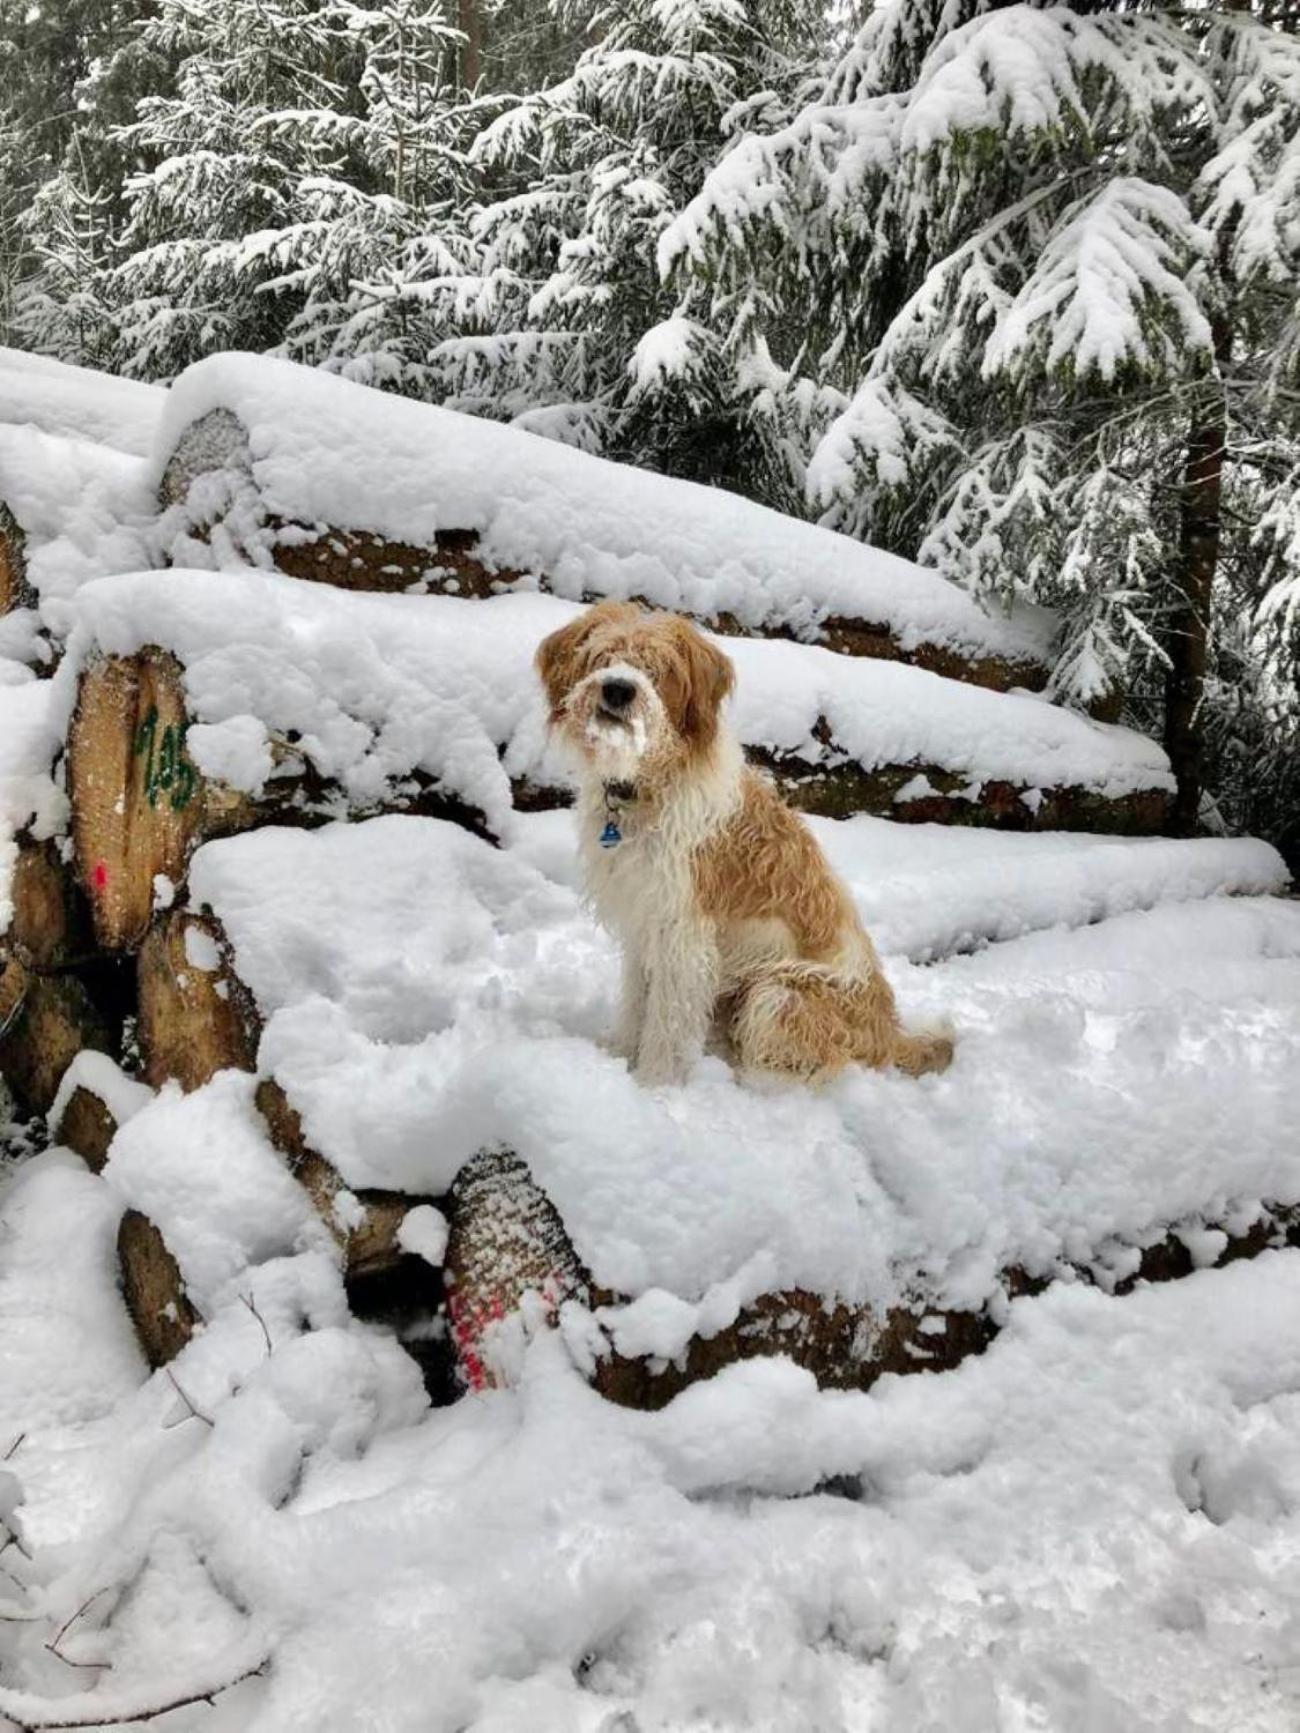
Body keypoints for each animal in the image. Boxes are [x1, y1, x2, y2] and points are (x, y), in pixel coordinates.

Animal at [533, 596, 949, 1081]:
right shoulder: (643, 922)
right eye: (603, 656)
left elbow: (665, 1025)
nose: (618, 689)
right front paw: (617, 1059)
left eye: (659, 668)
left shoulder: (684, 934)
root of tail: (890, 1034)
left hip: (777, 994)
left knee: (817, 1068)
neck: (647, 788)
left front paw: (654, 1085)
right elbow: (636, 1004)